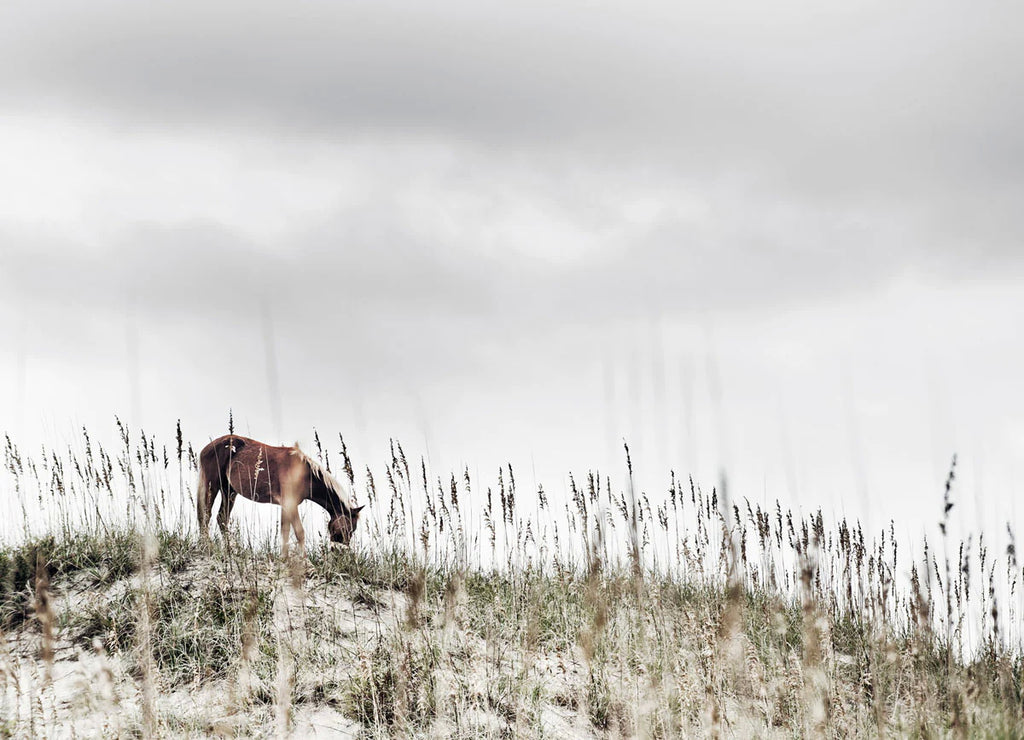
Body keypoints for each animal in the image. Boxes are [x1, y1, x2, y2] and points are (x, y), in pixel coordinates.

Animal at [195, 433, 364, 556]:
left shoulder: (286, 505)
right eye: (348, 529)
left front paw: (284, 557)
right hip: (212, 485)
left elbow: (285, 531)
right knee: (206, 515)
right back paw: (207, 546)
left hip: (229, 491)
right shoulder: (290, 504)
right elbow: (299, 533)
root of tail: (206, 448)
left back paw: (230, 550)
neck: (304, 472)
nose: (340, 553)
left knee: (222, 518)